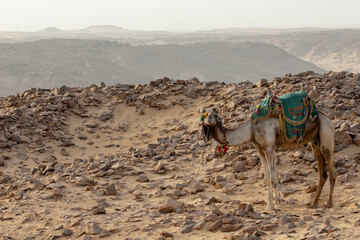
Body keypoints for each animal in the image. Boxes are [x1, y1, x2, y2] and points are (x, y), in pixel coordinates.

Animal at [201, 95, 336, 210]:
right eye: (205, 115)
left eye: (214, 115)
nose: (208, 121)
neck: (251, 129)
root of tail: (328, 118)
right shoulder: (260, 149)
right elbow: (267, 178)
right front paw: (269, 206)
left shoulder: (270, 148)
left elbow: (273, 179)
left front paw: (278, 206)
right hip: (315, 141)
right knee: (322, 173)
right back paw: (314, 203)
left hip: (327, 134)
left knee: (331, 170)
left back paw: (329, 203)